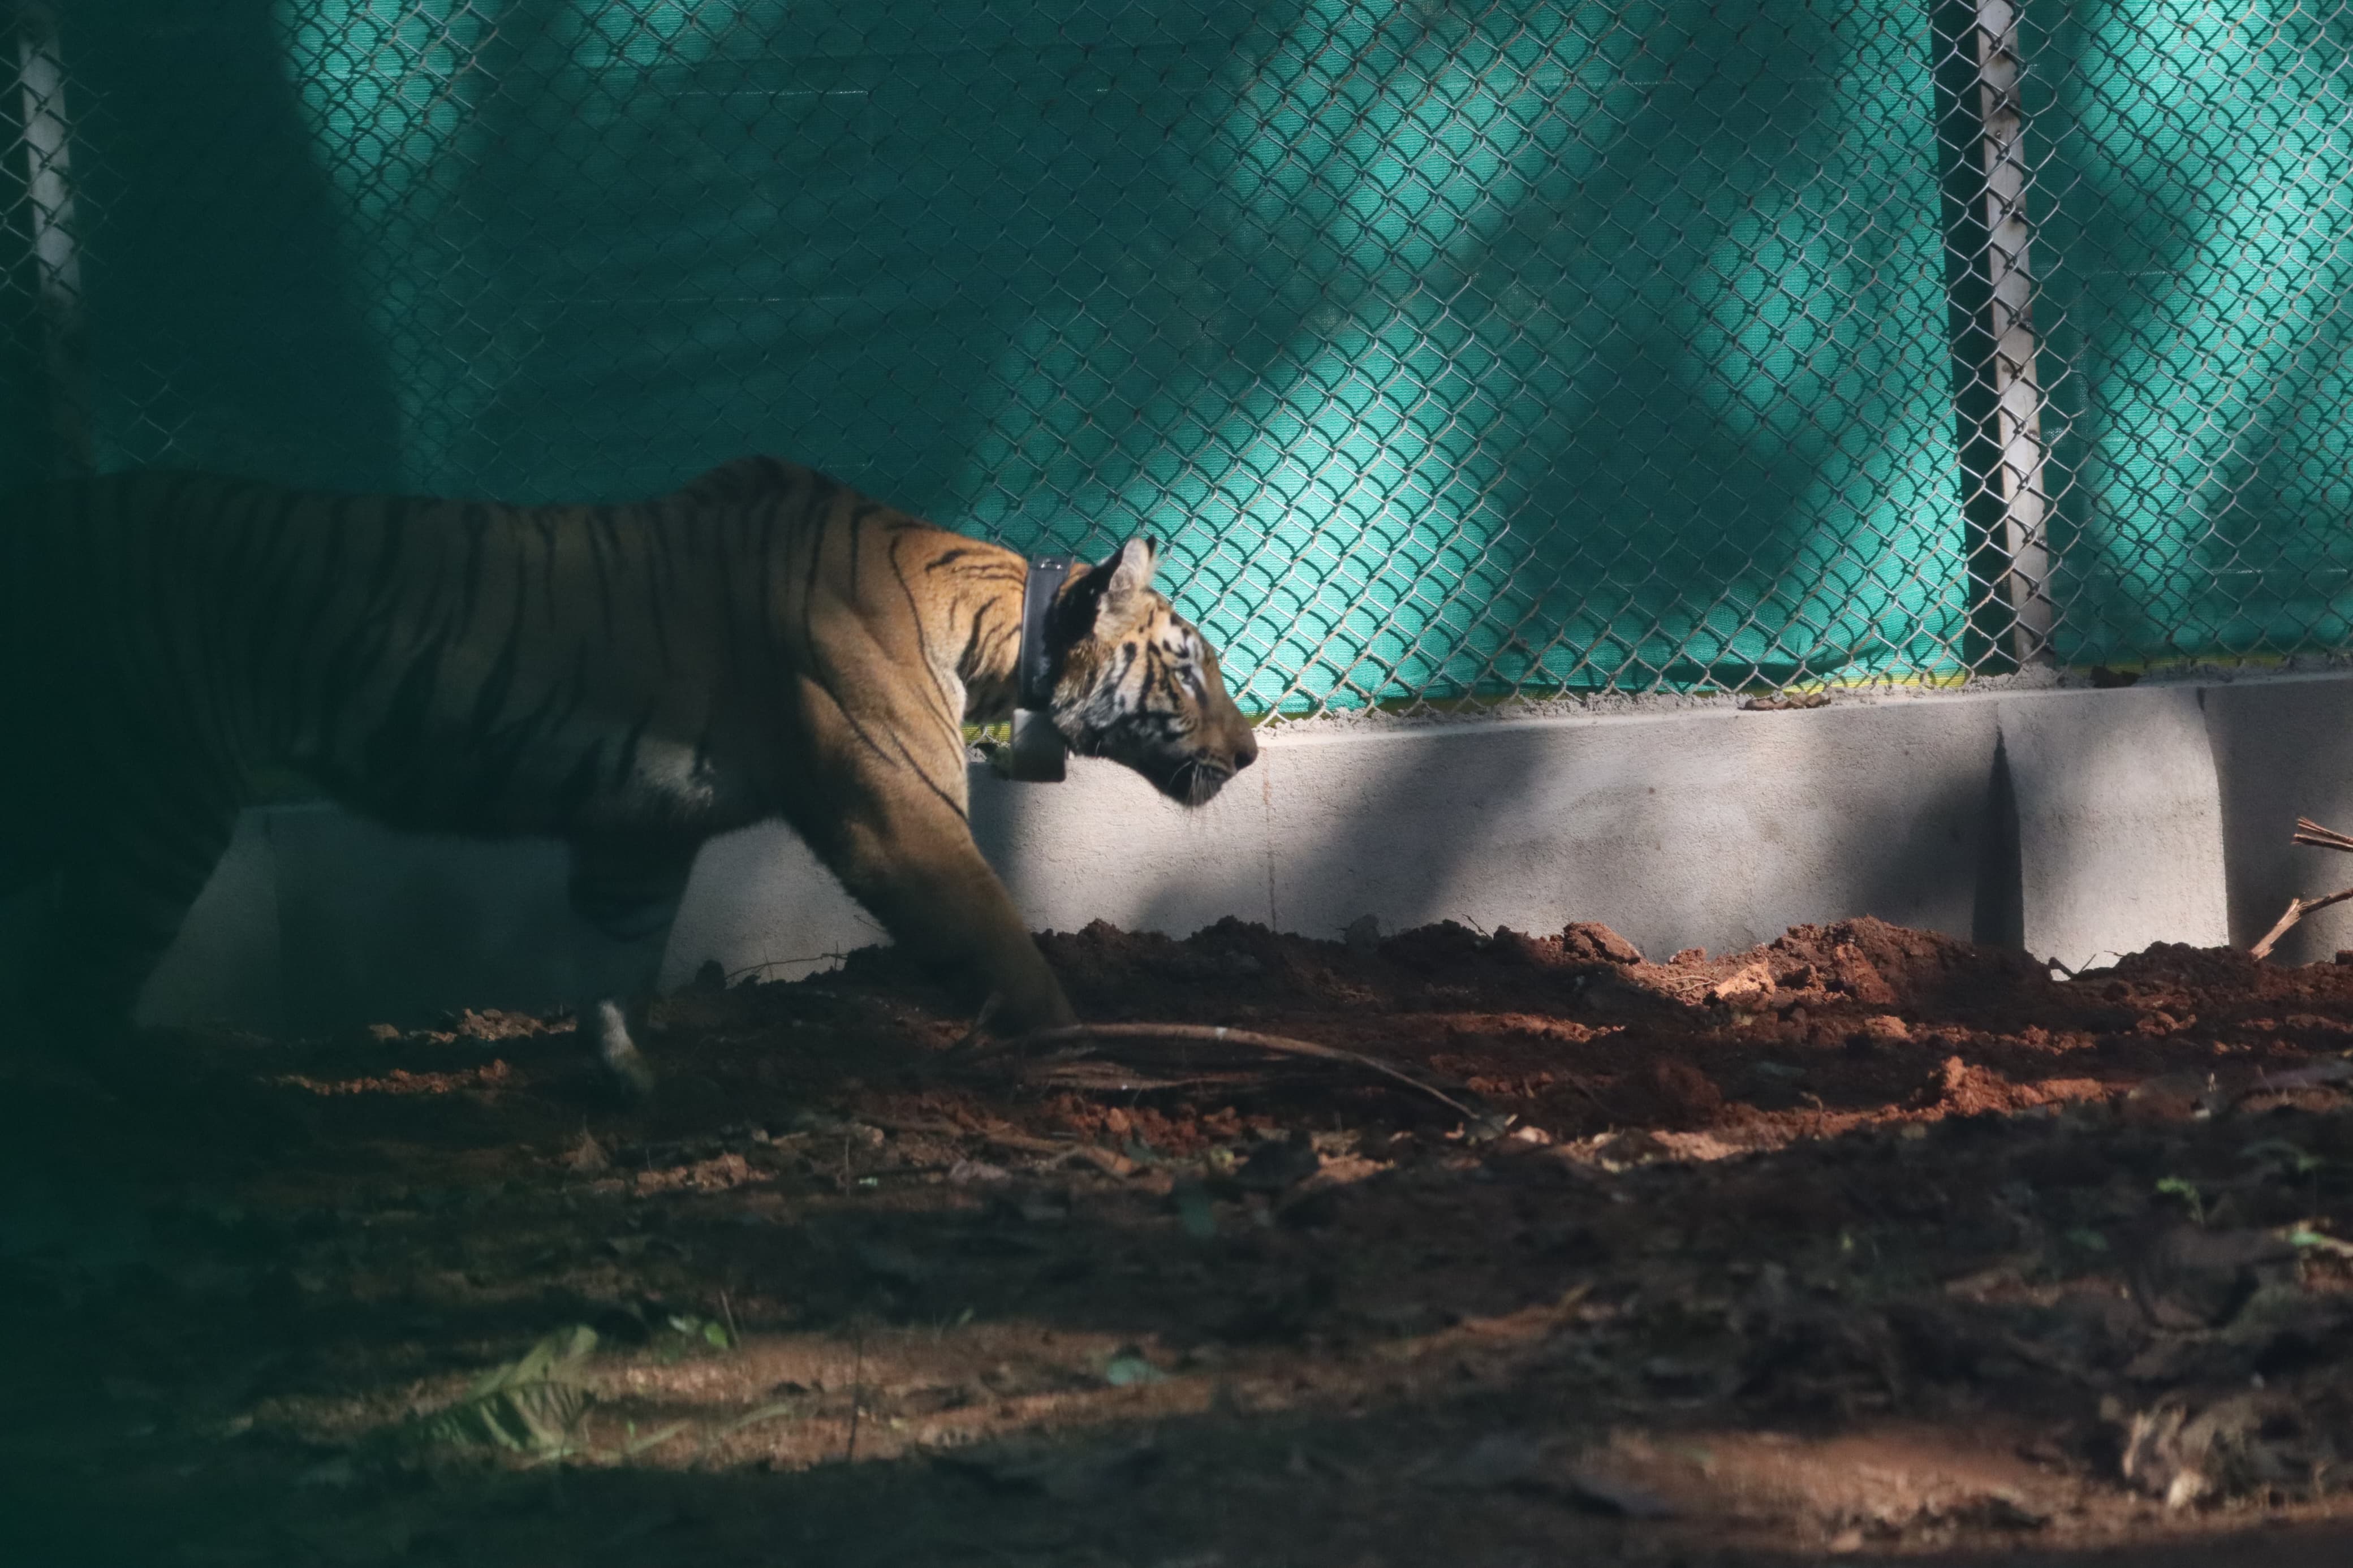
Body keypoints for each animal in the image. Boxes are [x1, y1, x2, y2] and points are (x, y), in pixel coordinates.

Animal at [0, 453, 1261, 1091]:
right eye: (1188, 663)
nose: (1250, 753)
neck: (996, 631)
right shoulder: (897, 815)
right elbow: (999, 939)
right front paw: (1081, 1052)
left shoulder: (635, 830)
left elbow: (615, 956)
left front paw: (620, 1077)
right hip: (156, 789)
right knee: (72, 989)